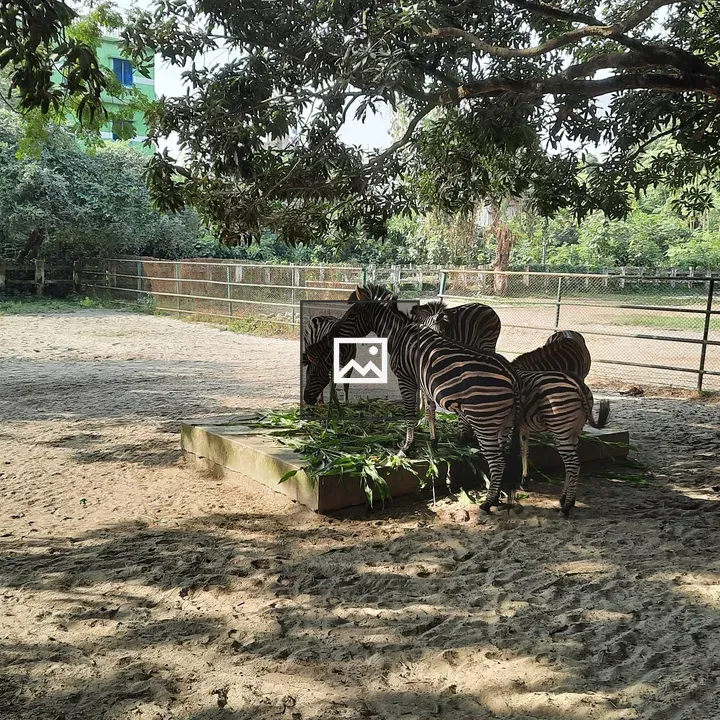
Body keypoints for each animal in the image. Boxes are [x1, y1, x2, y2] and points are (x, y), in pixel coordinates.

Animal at [304, 299, 523, 513]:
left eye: (351, 316)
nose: (329, 337)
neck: (398, 334)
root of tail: (512, 375)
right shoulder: (423, 381)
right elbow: (429, 409)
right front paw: (433, 442)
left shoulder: (406, 378)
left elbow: (410, 412)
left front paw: (406, 447)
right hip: (503, 422)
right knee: (503, 458)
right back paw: (497, 497)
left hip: (484, 420)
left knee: (497, 461)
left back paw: (487, 503)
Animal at [515, 369, 610, 516]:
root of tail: (577, 383)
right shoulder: (523, 427)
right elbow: (524, 451)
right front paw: (524, 481)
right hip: (575, 431)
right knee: (569, 464)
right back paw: (564, 498)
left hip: (560, 428)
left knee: (573, 463)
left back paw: (567, 506)